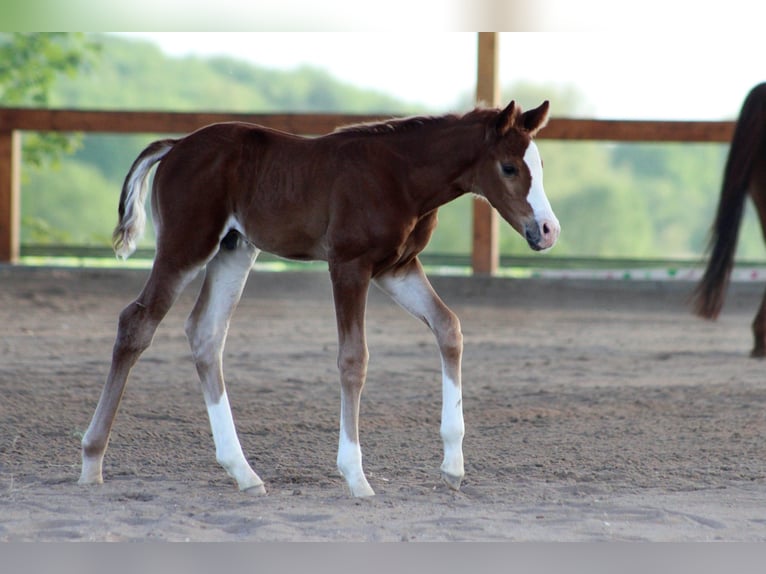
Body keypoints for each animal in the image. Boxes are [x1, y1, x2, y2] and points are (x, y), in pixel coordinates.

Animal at [78, 101, 560, 498]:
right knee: (137, 322)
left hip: (235, 250)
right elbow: (353, 359)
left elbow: (449, 328)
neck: (401, 176)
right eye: (509, 168)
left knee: (206, 334)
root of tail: (176, 145)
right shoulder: (349, 265)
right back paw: (92, 460)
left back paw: (243, 473)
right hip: (186, 247)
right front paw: (356, 476)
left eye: (538, 164)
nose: (548, 230)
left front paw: (453, 467)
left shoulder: (397, 268)